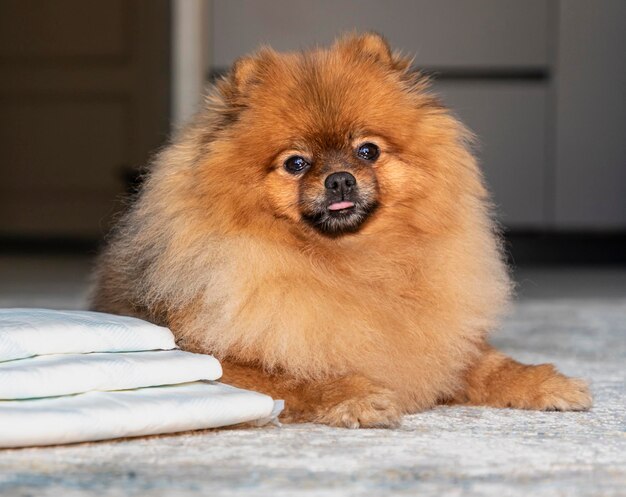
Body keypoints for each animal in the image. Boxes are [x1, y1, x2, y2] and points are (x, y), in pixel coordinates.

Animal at [89, 34, 588, 426]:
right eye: (296, 163)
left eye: (368, 151)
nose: (341, 179)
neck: (350, 264)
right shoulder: (211, 356)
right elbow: (293, 376)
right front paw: (357, 396)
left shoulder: (443, 342)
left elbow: (487, 364)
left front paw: (545, 382)